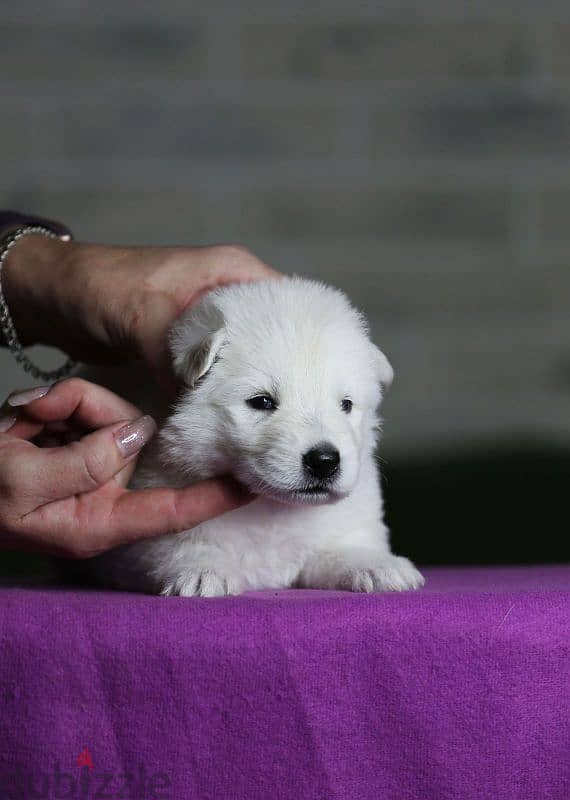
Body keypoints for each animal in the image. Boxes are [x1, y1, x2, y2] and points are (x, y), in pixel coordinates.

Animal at [98, 278, 422, 596]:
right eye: (262, 402)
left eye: (346, 405)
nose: (324, 461)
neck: (272, 509)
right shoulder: (141, 535)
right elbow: (179, 545)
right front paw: (202, 571)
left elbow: (339, 546)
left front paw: (377, 565)